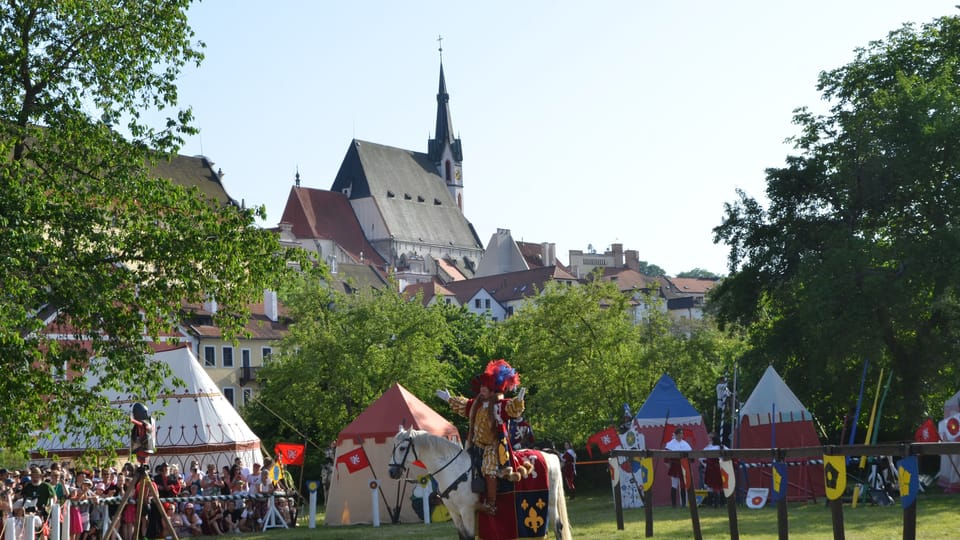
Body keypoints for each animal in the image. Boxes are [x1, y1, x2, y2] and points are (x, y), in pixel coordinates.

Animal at [388, 426, 572, 540]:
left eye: (402, 448)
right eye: (393, 447)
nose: (391, 472)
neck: (454, 469)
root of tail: (548, 455)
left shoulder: (467, 511)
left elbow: (470, 537)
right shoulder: (454, 513)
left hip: (550, 503)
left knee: (558, 527)